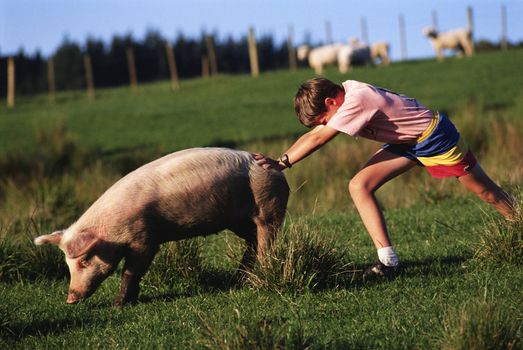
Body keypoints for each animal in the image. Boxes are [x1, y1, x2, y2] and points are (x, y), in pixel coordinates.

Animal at [35, 148, 290, 306]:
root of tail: (277, 171)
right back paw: (238, 280)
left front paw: (118, 305)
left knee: (266, 240)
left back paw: (261, 276)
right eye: (67, 263)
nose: (70, 299)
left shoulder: (144, 238)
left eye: (85, 259)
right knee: (251, 241)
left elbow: (131, 270)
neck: (112, 228)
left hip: (269, 208)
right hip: (238, 221)